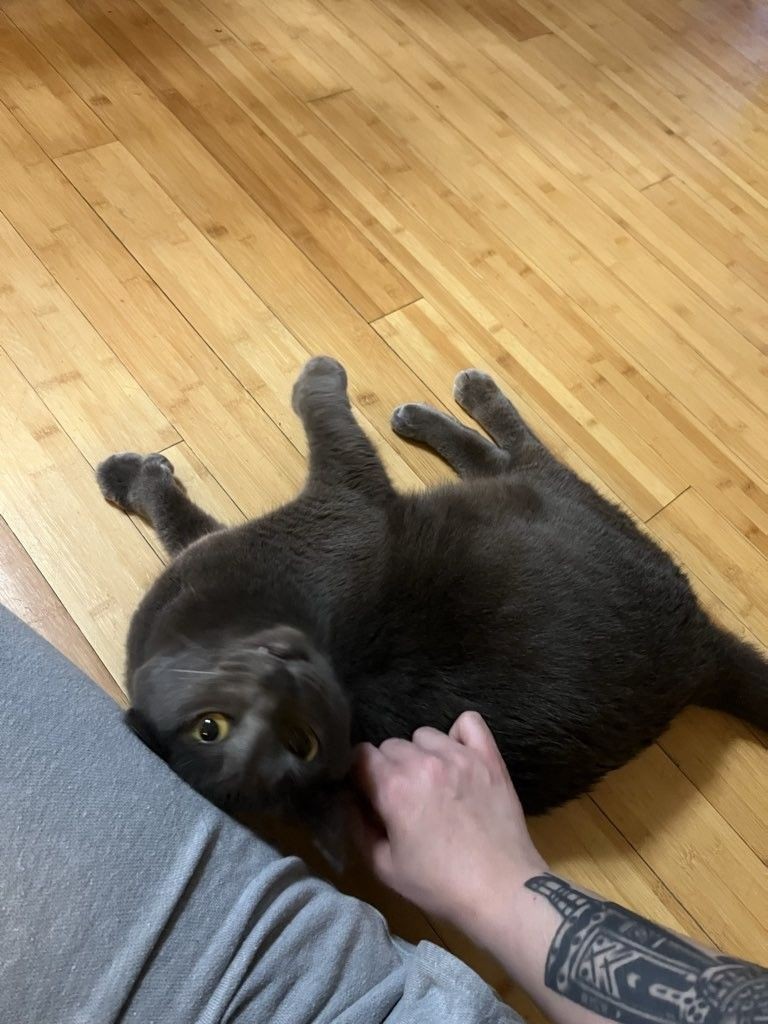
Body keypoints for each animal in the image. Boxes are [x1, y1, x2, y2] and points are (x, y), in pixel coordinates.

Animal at [98, 356, 768, 840]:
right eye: (211, 729)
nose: (281, 676)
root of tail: (700, 656)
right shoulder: (340, 497)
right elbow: (317, 418)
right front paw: (319, 370)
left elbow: (183, 520)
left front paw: (129, 477)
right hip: (549, 503)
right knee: (518, 453)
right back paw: (454, 402)